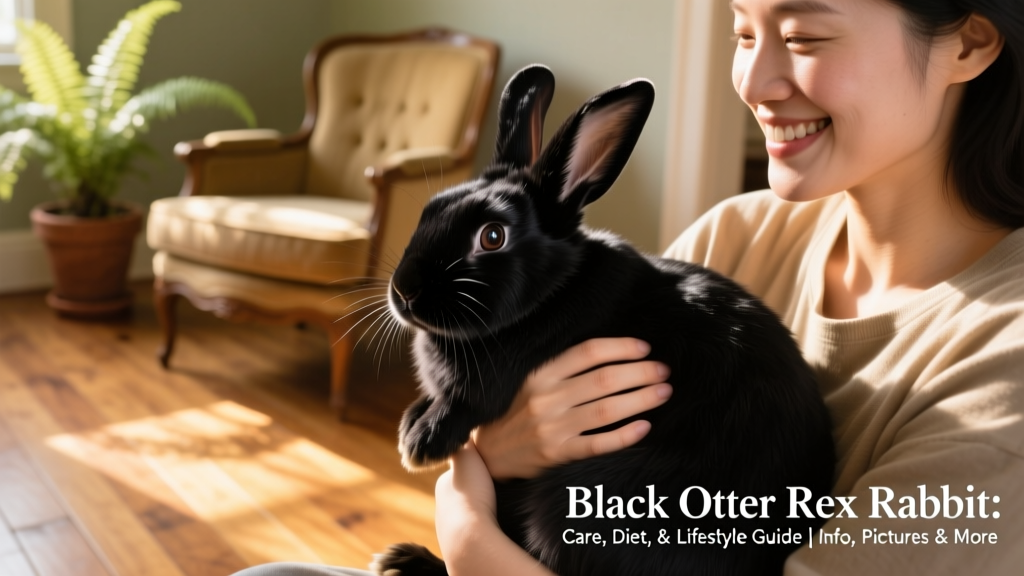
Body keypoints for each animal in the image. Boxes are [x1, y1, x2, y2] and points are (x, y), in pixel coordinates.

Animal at [370, 65, 835, 576]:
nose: (404, 290)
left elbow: (463, 404)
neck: (552, 291)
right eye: (429, 209)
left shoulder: (487, 387)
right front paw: (411, 422)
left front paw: (420, 443)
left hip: (569, 510)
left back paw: (406, 560)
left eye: (492, 237)